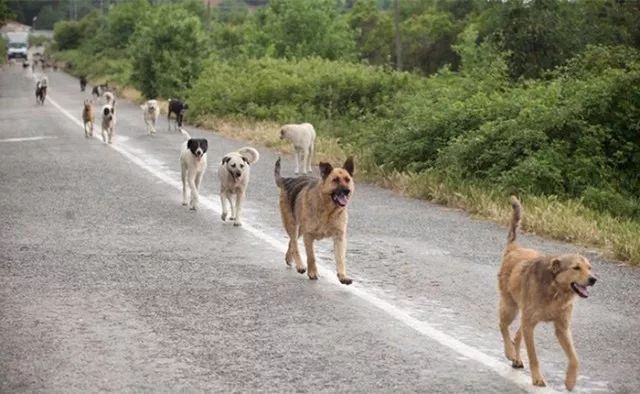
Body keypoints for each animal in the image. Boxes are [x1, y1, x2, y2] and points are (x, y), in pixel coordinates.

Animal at [272, 156, 356, 284]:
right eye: (335, 180)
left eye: (347, 180)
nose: (347, 191)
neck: (328, 211)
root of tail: (287, 180)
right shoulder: (309, 235)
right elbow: (311, 257)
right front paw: (312, 273)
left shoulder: (339, 237)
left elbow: (340, 258)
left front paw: (342, 276)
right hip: (292, 225)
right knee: (294, 244)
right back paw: (300, 265)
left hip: (300, 229)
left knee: (291, 242)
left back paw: (289, 258)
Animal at [498, 197, 596, 390]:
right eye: (576, 267)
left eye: (589, 268)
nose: (593, 279)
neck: (555, 291)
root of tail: (514, 248)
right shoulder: (530, 324)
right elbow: (534, 356)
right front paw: (537, 378)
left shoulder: (562, 328)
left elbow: (575, 358)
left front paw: (570, 381)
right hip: (511, 307)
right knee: (503, 326)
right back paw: (510, 352)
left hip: (524, 315)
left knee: (516, 335)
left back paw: (516, 358)